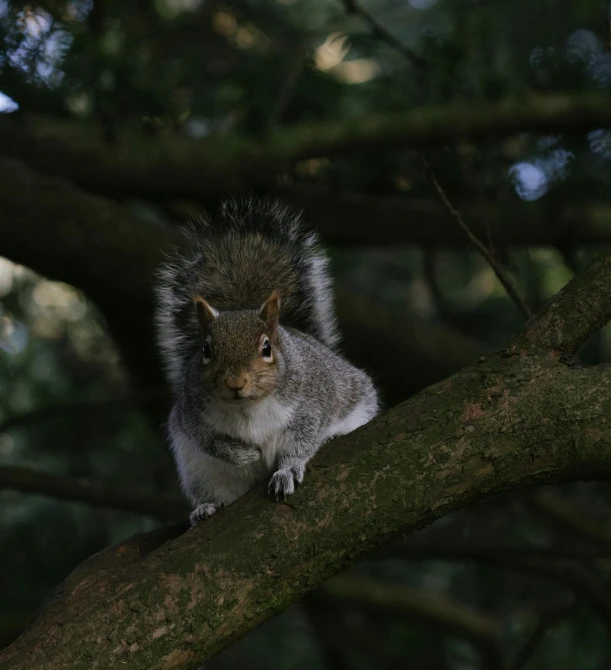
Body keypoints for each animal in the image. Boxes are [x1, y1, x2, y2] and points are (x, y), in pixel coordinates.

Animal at [155, 197, 380, 528]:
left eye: (266, 348)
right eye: (206, 349)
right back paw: (206, 508)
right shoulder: (191, 413)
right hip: (200, 472)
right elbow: (208, 440)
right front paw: (244, 455)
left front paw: (287, 471)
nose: (235, 383)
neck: (247, 406)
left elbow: (302, 441)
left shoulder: (311, 404)